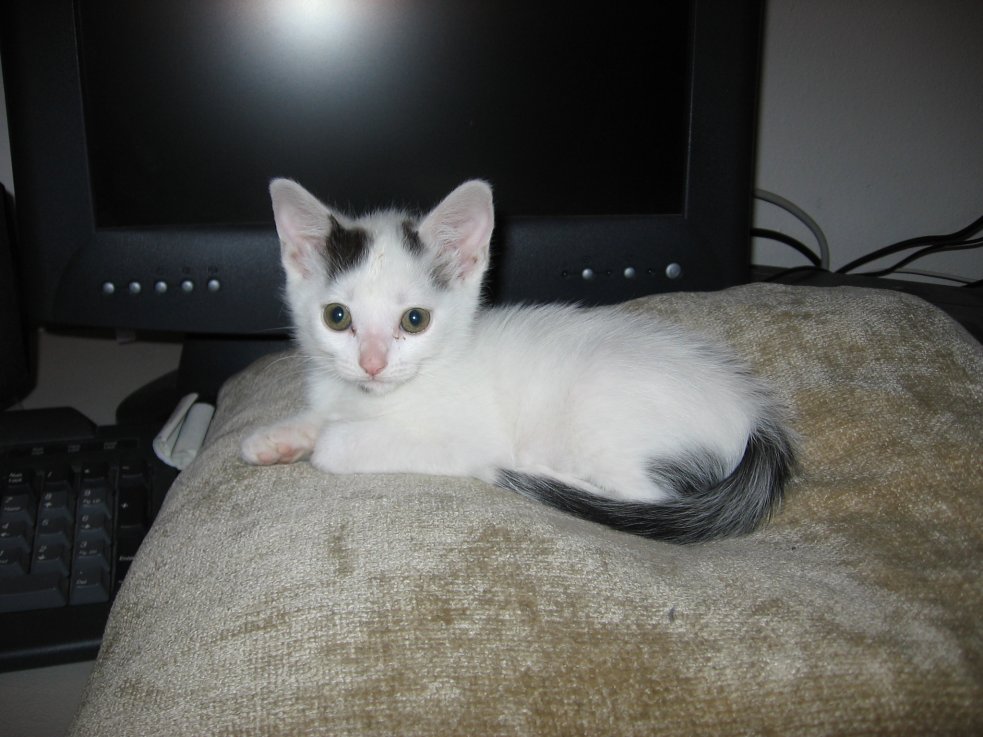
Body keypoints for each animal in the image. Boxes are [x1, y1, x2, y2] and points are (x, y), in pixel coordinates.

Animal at [242, 178, 796, 540]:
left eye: (414, 320)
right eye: (337, 317)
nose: (372, 364)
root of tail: (754, 416)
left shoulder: (464, 439)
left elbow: (339, 444)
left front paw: (321, 441)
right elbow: (321, 414)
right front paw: (278, 437)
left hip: (604, 414)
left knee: (645, 499)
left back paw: (545, 476)